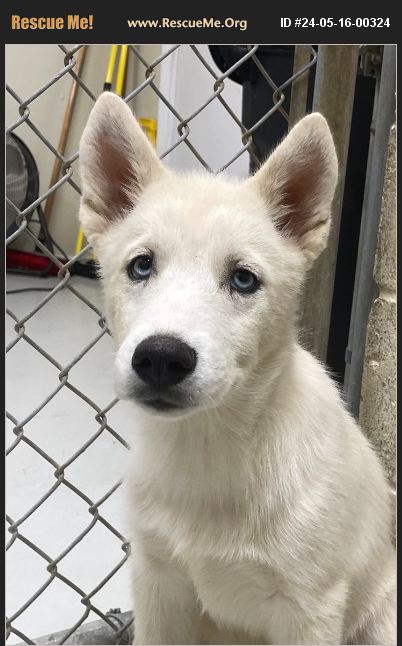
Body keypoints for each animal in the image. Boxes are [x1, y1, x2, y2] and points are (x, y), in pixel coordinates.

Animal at [79, 93, 396, 644]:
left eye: (244, 279)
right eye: (141, 266)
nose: (160, 357)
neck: (209, 449)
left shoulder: (310, 608)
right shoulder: (157, 583)